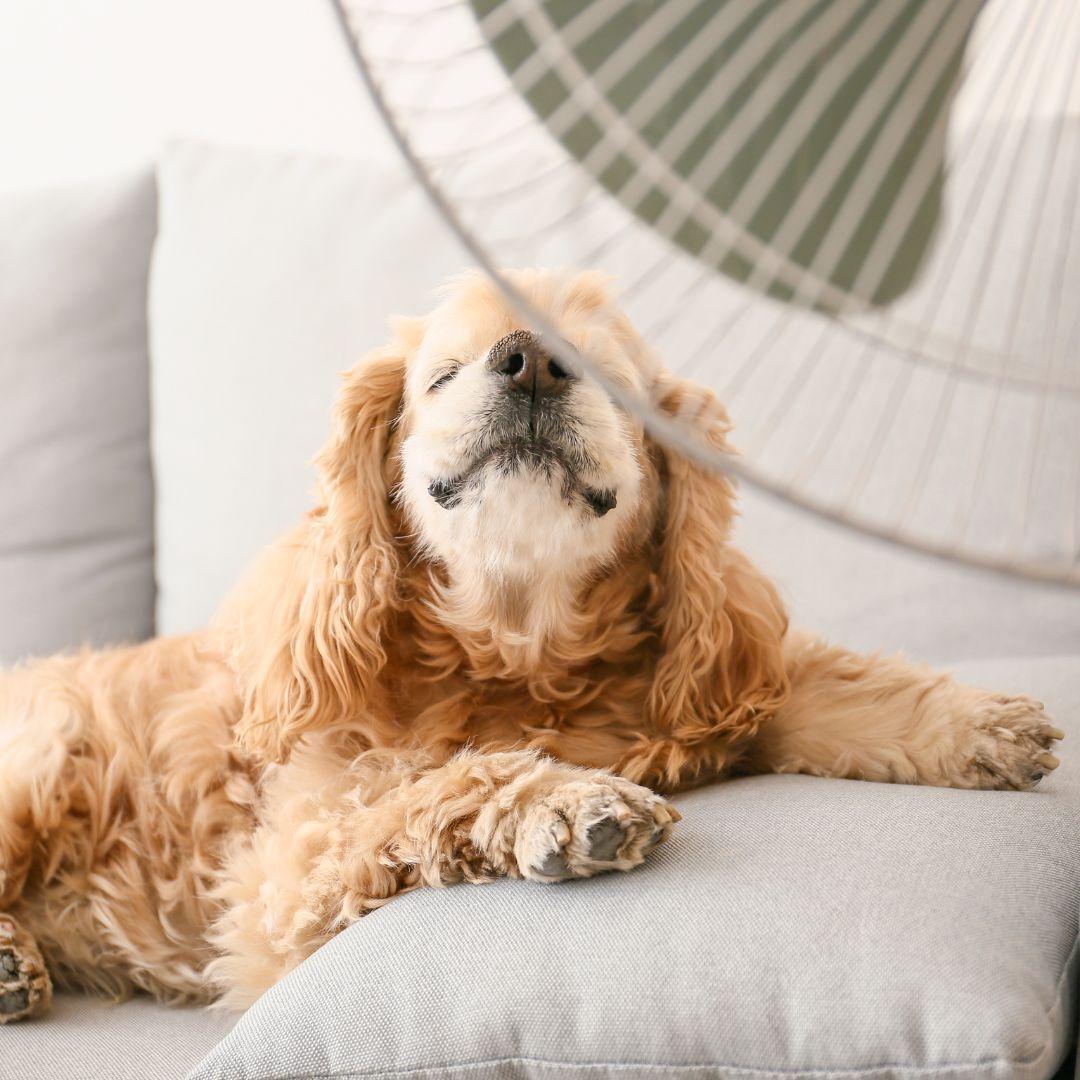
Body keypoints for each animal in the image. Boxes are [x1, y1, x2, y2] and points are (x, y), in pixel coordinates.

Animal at [0, 267, 1062, 1019]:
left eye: (614, 382)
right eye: (441, 374)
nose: (530, 361)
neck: (517, 649)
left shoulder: (705, 689)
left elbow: (837, 688)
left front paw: (983, 725)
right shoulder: (290, 872)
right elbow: (437, 786)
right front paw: (568, 805)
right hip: (44, 753)